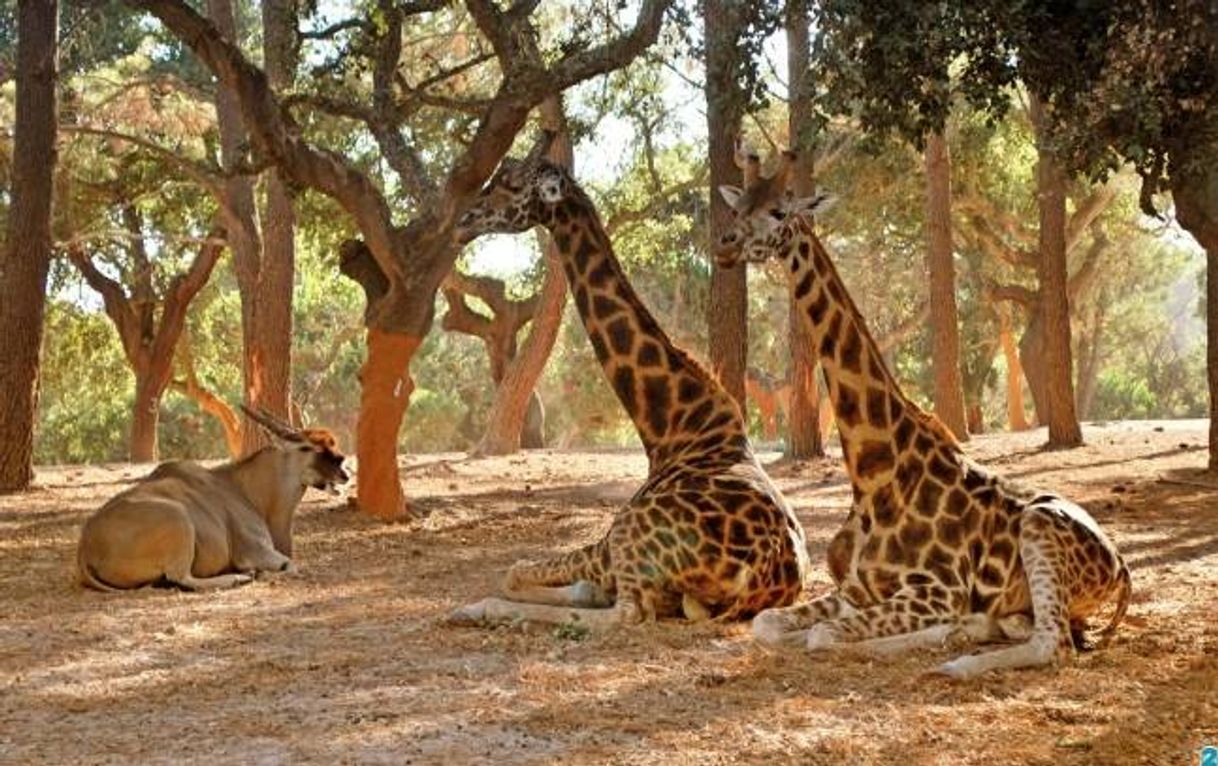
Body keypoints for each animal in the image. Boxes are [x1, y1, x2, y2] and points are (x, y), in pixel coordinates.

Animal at [445, 134, 808, 628]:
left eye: (511, 183)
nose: (463, 221)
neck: (671, 427)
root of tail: (760, 574)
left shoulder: (608, 542)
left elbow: (514, 572)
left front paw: (482, 604)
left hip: (629, 537)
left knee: (624, 615)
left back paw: (479, 610)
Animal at [711, 141, 1130, 677]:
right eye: (738, 206)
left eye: (779, 212)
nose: (724, 246)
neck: (874, 474)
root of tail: (1119, 564)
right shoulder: (858, 588)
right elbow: (765, 623)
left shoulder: (937, 589)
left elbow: (824, 636)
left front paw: (910, 640)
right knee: (1025, 627)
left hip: (1038, 530)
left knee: (1051, 644)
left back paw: (955, 662)